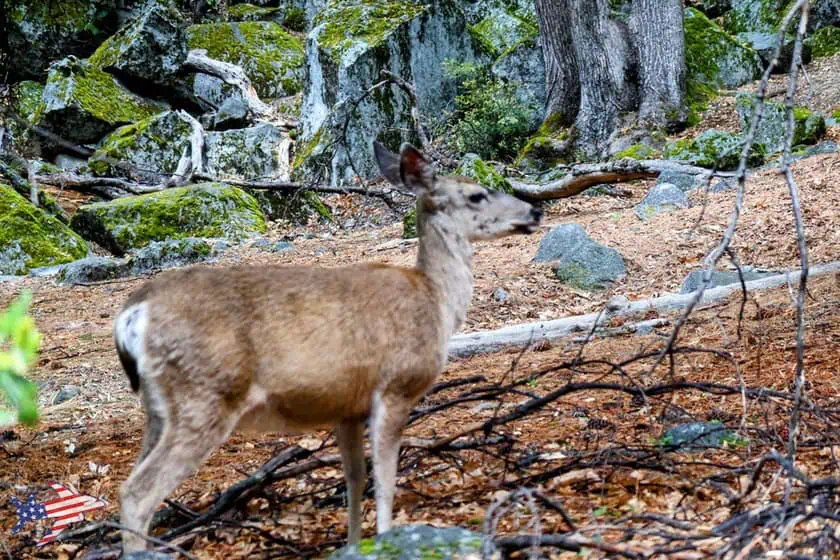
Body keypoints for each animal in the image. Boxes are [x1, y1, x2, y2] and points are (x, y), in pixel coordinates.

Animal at [113, 142, 543, 552]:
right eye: (476, 195)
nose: (534, 211)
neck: (435, 299)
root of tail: (133, 313)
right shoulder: (396, 386)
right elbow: (385, 480)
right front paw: (386, 539)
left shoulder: (346, 408)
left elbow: (355, 478)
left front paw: (353, 543)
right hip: (206, 394)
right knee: (137, 494)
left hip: (159, 408)